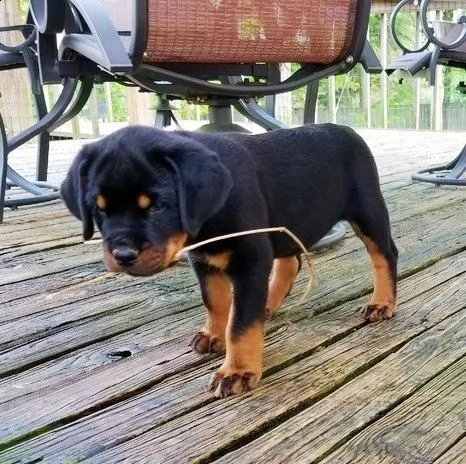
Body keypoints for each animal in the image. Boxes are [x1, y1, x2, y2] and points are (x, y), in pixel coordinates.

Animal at [60, 124, 398, 398]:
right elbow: (217, 302)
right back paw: (267, 304)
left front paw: (237, 371)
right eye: (99, 208)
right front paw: (214, 334)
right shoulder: (204, 260)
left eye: (157, 206)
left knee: (385, 254)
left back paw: (382, 303)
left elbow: (241, 323)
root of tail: (347, 130)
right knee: (290, 264)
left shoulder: (250, 261)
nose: (123, 255)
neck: (208, 215)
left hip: (367, 210)